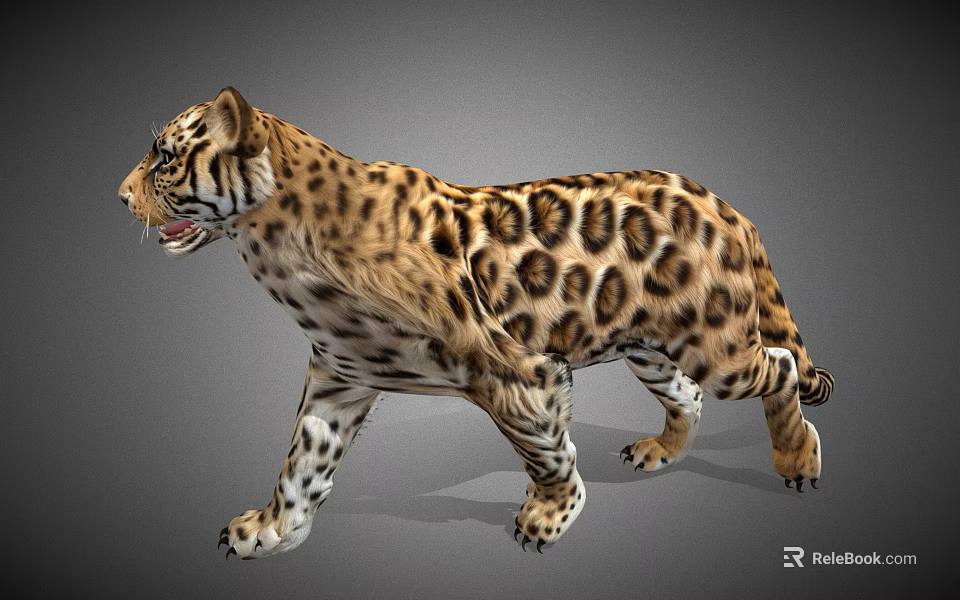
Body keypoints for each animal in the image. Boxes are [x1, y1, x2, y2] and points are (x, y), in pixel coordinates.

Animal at [118, 87, 834, 557]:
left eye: (164, 160)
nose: (120, 196)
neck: (280, 245)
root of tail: (725, 204)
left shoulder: (519, 373)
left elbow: (544, 450)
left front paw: (550, 515)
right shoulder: (340, 377)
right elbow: (303, 461)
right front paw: (273, 529)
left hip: (716, 346)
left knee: (780, 368)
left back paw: (796, 458)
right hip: (650, 346)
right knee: (687, 395)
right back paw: (660, 449)